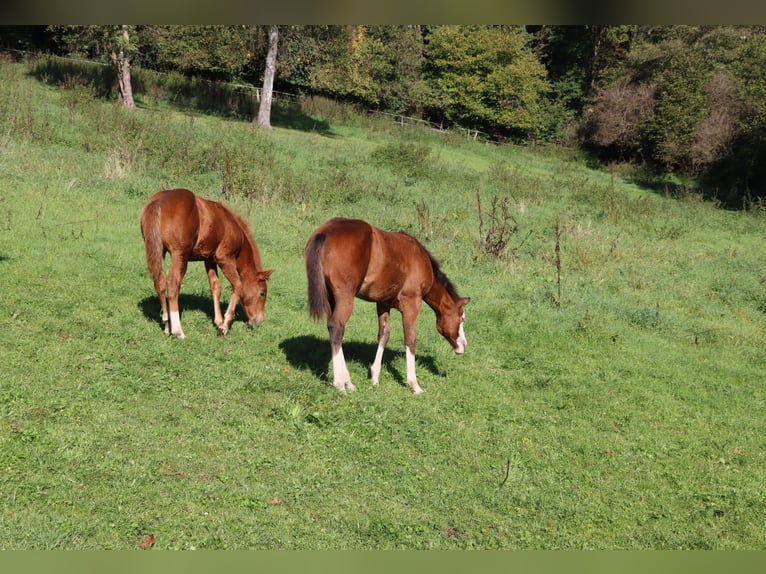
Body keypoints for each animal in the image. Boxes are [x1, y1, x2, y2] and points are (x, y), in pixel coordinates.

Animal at [140, 188, 274, 339]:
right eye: (262, 293)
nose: (259, 321)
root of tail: (158, 201)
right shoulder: (225, 258)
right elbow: (237, 285)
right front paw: (225, 326)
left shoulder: (209, 260)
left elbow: (215, 286)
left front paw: (219, 321)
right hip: (179, 255)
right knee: (173, 284)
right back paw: (178, 331)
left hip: (160, 251)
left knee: (160, 283)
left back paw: (167, 326)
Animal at [305, 217, 470, 394]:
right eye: (462, 319)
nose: (463, 346)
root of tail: (326, 231)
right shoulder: (412, 303)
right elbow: (410, 339)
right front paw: (414, 385)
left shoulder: (383, 303)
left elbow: (384, 335)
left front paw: (375, 378)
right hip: (345, 297)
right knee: (337, 327)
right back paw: (340, 384)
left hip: (331, 299)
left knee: (334, 329)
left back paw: (349, 383)